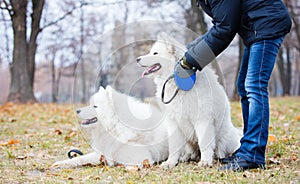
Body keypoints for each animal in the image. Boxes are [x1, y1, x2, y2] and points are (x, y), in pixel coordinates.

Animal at [52, 86, 199, 168]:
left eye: (95, 106)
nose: (77, 110)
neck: (116, 126)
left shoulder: (140, 158)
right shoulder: (103, 151)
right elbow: (80, 158)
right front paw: (61, 163)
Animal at [136, 32, 241, 168]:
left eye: (155, 53)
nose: (137, 59)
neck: (176, 82)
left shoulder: (202, 120)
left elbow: (204, 143)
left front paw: (205, 161)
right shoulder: (173, 121)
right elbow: (174, 145)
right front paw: (170, 162)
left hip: (225, 137)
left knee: (220, 148)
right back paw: (186, 156)